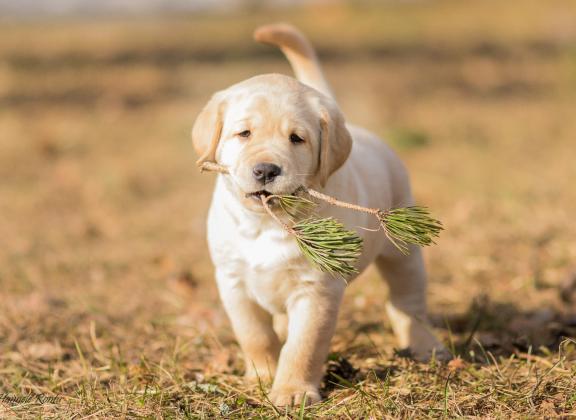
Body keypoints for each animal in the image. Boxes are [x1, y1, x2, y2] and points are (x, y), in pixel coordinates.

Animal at [194, 23, 446, 406]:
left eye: (297, 139)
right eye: (244, 133)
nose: (266, 170)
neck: (267, 224)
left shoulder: (317, 290)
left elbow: (304, 345)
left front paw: (292, 391)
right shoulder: (232, 281)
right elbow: (255, 335)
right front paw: (261, 375)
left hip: (402, 253)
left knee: (407, 302)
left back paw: (423, 344)